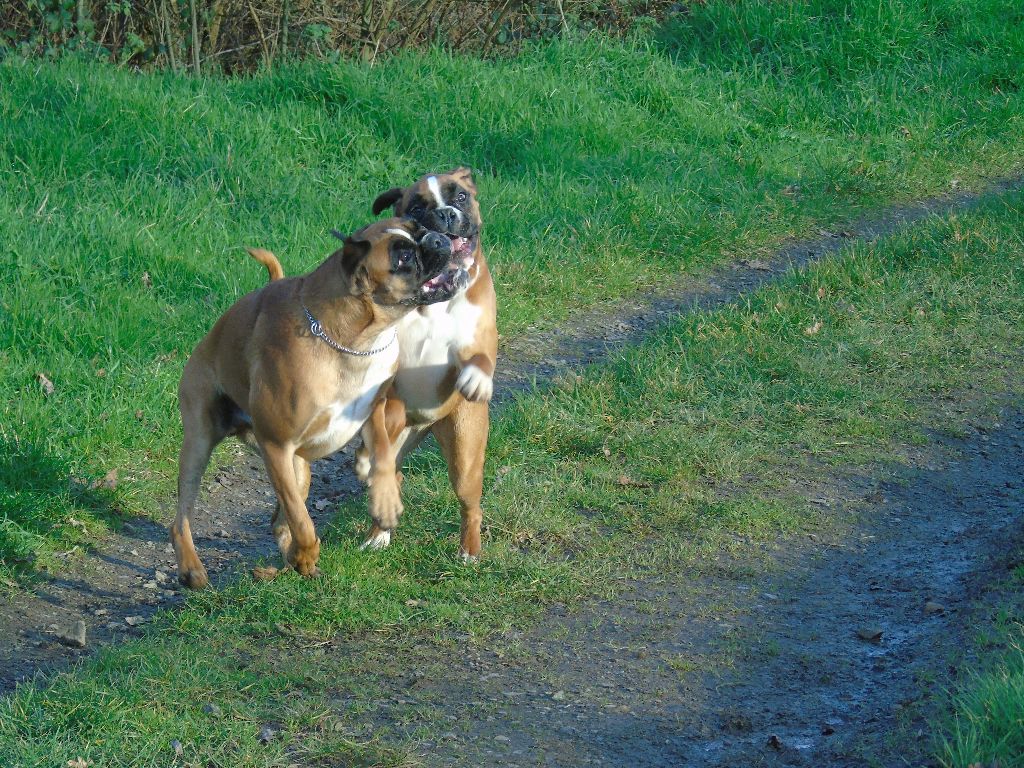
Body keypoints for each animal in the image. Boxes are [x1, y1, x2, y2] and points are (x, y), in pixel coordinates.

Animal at [169, 217, 458, 589]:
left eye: (419, 227)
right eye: (404, 256)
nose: (437, 238)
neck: (356, 341)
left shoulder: (376, 410)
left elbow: (381, 452)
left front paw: (384, 500)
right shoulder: (277, 446)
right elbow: (303, 522)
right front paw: (307, 553)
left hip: (298, 467)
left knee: (279, 520)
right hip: (202, 442)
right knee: (185, 517)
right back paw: (193, 568)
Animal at [356, 166, 495, 561]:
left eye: (460, 195)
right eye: (417, 208)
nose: (445, 215)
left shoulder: (480, 338)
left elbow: (480, 357)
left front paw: (477, 379)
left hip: (465, 457)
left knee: (470, 504)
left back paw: (469, 550)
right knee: (388, 475)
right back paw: (377, 533)